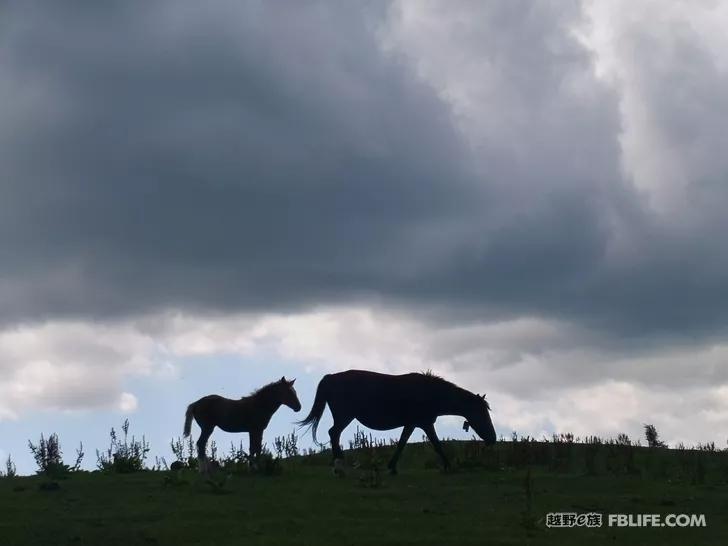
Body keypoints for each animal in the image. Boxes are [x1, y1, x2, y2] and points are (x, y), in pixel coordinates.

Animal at [296, 370, 494, 472]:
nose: (492, 438)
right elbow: (436, 444)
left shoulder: (413, 424)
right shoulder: (424, 423)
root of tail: (329, 377)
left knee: (334, 434)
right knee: (334, 433)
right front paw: (448, 465)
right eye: (482, 413)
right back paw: (339, 462)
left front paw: (392, 466)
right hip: (344, 416)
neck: (430, 393)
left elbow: (402, 443)